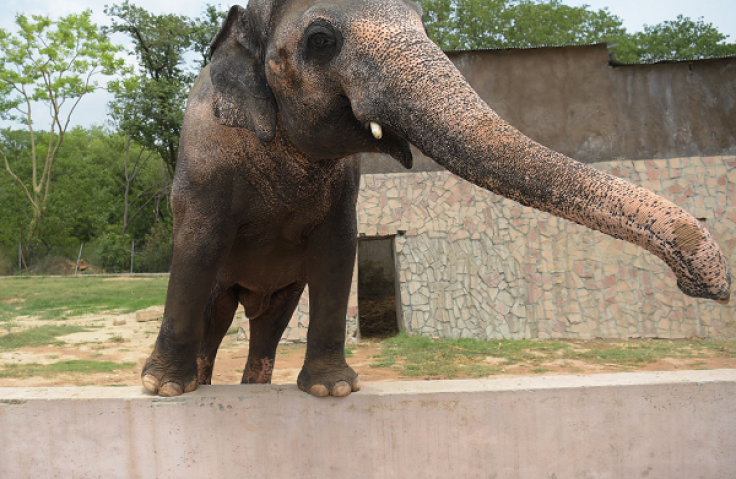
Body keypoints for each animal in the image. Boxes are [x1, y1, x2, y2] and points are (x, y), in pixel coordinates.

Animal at [141, 0, 732, 400]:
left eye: (424, 22)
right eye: (321, 40)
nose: (710, 287)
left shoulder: (344, 186)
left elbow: (337, 251)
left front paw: (333, 390)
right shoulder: (203, 160)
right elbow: (199, 244)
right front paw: (161, 389)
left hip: (277, 297)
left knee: (270, 322)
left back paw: (254, 389)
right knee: (219, 311)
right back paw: (197, 383)